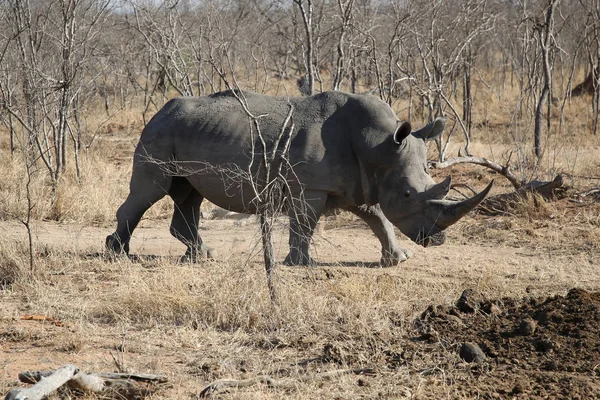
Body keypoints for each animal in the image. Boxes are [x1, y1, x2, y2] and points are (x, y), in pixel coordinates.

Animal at [106, 90, 492, 266]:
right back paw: (117, 254)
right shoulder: (311, 186)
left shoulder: (360, 184)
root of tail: (160, 109)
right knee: (152, 190)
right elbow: (305, 221)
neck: (378, 146)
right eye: (410, 195)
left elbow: (378, 217)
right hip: (160, 132)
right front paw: (301, 263)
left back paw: (203, 256)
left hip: (185, 131)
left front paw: (397, 260)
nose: (437, 241)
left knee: (189, 194)